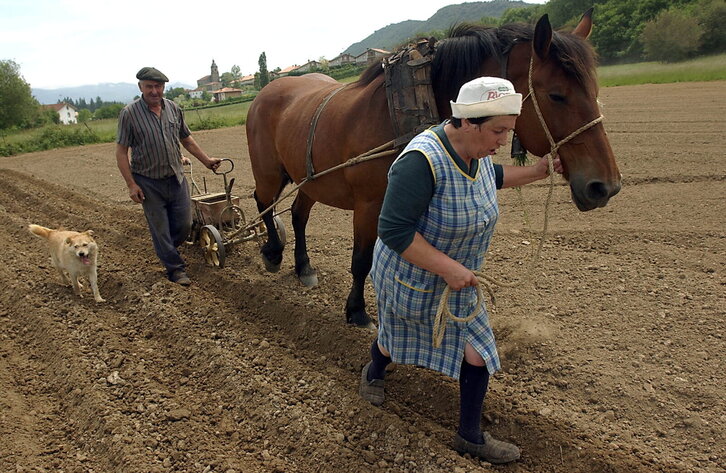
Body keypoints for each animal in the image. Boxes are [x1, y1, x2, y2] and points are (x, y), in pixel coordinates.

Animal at [246, 10, 621, 328]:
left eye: (595, 90)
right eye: (557, 95)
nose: (605, 186)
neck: (400, 111)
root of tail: (267, 90)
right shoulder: (369, 205)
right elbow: (362, 260)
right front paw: (357, 311)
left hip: (310, 179)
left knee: (297, 214)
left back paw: (304, 266)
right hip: (269, 173)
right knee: (262, 203)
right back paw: (273, 252)